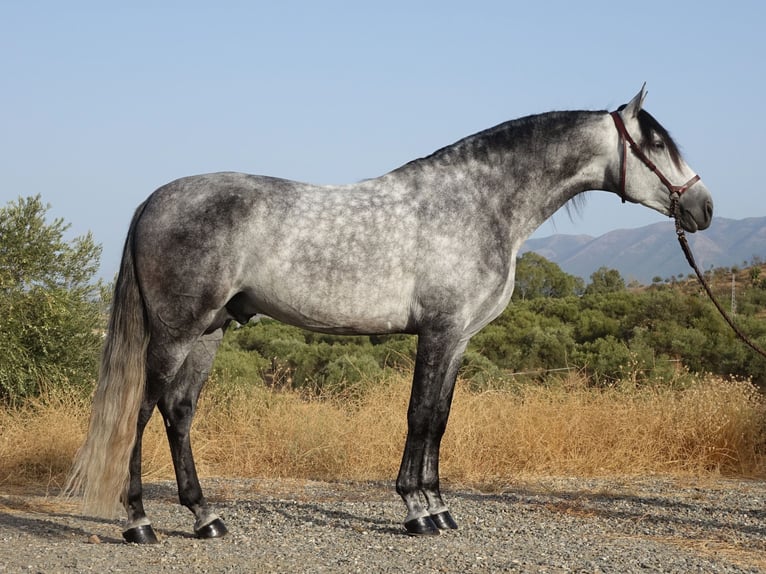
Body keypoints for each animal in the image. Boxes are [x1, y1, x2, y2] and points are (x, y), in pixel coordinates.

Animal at [64, 84, 712, 540]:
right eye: (656, 145)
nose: (703, 208)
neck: (476, 203)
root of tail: (154, 200)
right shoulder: (439, 332)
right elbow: (419, 416)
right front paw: (416, 511)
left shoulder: (458, 339)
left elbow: (440, 419)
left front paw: (440, 508)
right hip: (174, 334)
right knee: (140, 412)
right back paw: (139, 523)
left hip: (210, 331)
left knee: (178, 413)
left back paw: (207, 519)